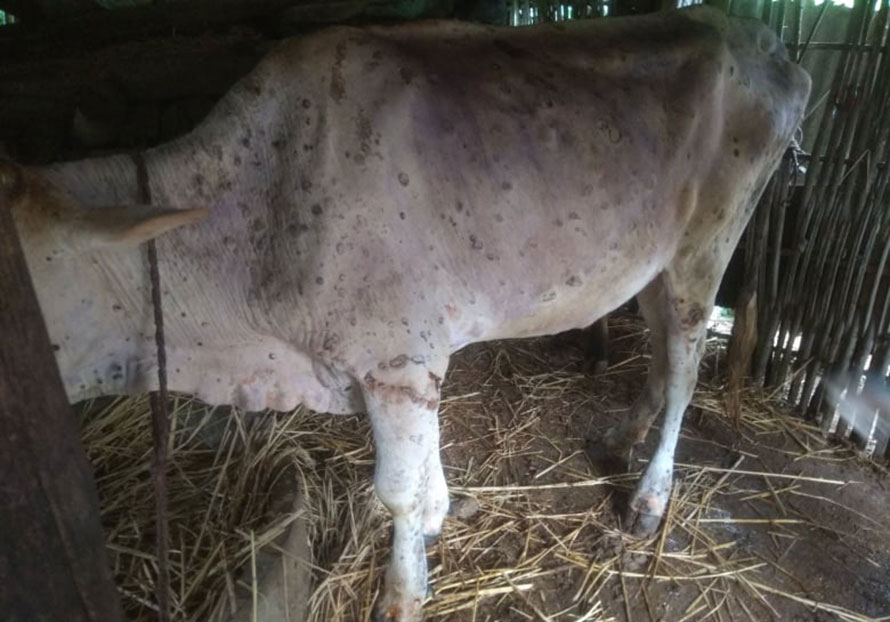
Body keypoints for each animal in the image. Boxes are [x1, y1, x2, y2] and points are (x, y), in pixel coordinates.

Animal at [1, 6, 809, 621]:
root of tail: (766, 43)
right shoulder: (393, 362)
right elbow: (421, 474)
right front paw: (439, 520)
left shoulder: (396, 358)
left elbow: (397, 489)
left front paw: (402, 591)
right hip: (651, 258)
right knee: (661, 354)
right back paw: (623, 431)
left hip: (707, 245)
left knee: (685, 367)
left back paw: (648, 497)